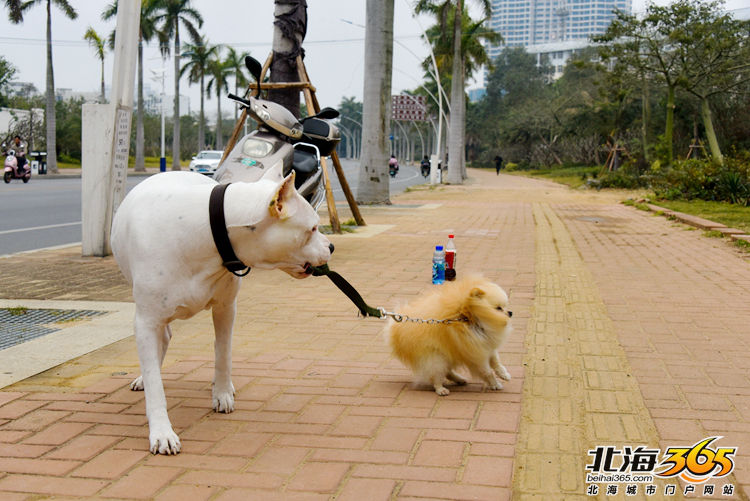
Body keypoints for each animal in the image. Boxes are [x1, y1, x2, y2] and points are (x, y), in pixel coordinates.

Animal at [111, 171, 332, 454]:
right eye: (312, 229)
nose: (332, 246)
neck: (207, 230)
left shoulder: (226, 308)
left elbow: (223, 353)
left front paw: (223, 392)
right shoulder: (146, 321)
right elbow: (154, 383)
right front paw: (161, 431)